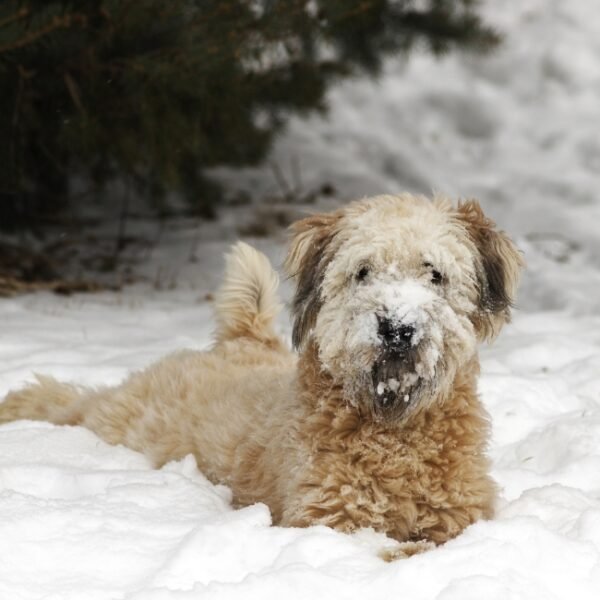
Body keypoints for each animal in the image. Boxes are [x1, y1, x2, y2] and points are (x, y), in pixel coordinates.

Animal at [0, 193, 520, 556]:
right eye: (363, 272)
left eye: (435, 274)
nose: (396, 327)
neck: (395, 432)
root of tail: (242, 341)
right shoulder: (326, 520)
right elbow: (395, 550)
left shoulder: (463, 513)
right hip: (116, 419)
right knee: (69, 400)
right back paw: (21, 406)